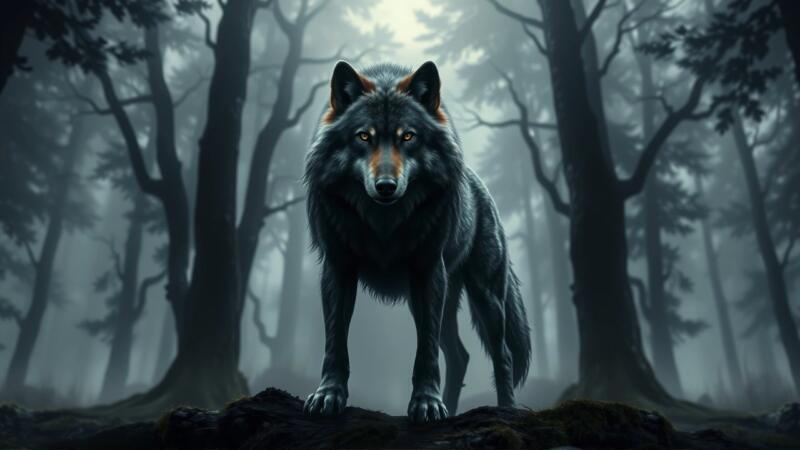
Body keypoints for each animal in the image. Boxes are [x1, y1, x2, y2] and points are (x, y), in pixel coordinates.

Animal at [302, 60, 531, 423]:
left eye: (408, 136)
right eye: (363, 136)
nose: (385, 186)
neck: (384, 223)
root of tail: (481, 186)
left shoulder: (428, 272)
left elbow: (425, 351)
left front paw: (426, 403)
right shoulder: (338, 268)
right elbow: (335, 341)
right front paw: (329, 395)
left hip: (485, 297)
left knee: (502, 354)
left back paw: (505, 410)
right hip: (437, 301)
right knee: (460, 355)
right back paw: (451, 410)